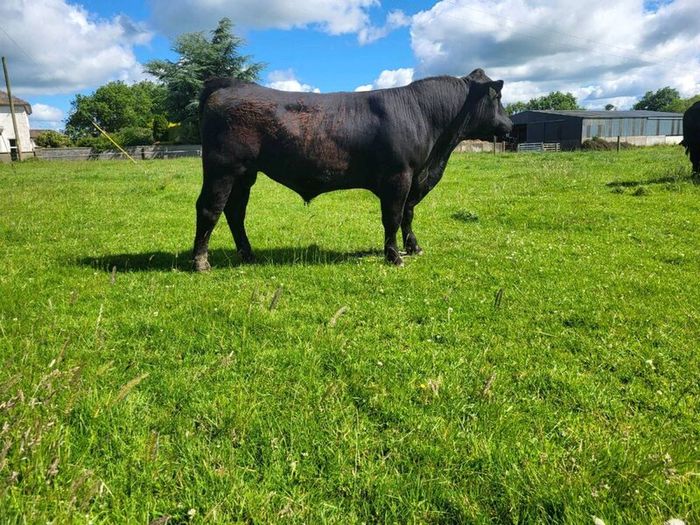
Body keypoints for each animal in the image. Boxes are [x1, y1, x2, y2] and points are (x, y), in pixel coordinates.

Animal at [193, 68, 512, 270]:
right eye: (496, 97)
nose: (509, 126)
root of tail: (232, 84)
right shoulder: (399, 176)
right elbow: (392, 217)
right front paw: (394, 257)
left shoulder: (415, 179)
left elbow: (408, 214)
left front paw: (413, 247)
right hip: (222, 168)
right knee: (209, 209)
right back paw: (201, 262)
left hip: (245, 175)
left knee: (235, 211)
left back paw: (247, 254)